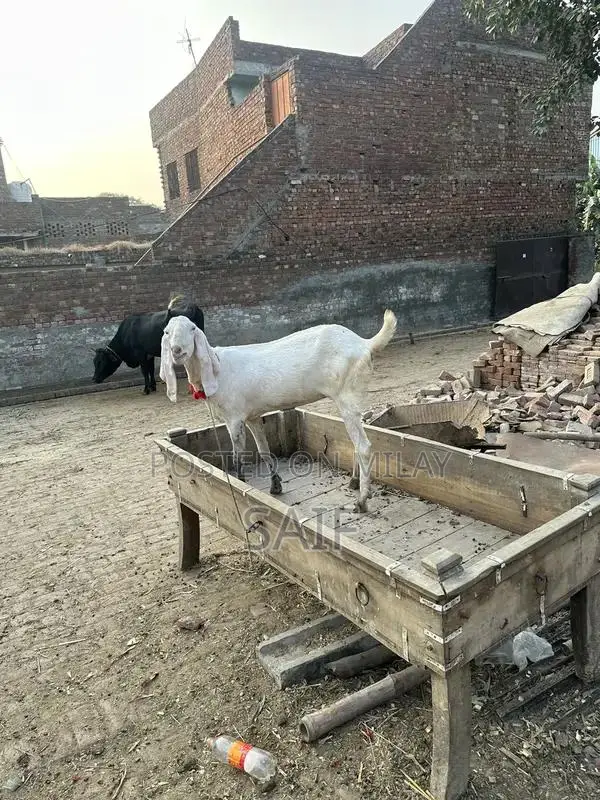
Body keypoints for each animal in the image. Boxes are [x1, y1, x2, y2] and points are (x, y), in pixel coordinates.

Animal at [159, 310, 397, 513]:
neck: (218, 370)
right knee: (356, 442)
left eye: (192, 328)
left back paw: (362, 501)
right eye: (167, 332)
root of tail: (364, 343)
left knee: (364, 446)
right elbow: (264, 451)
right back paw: (354, 483)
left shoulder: (234, 418)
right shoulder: (253, 417)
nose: (177, 351)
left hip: (346, 394)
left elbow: (237, 457)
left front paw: (239, 483)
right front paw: (275, 486)